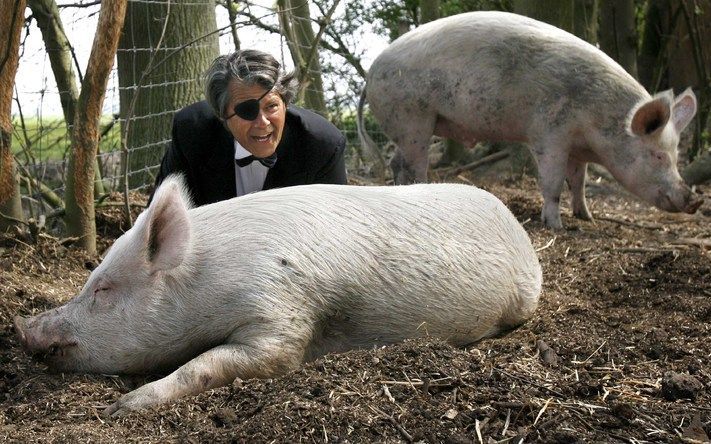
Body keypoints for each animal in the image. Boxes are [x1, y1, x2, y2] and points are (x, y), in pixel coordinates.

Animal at [12, 176, 540, 416]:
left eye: (102, 289)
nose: (21, 327)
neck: (206, 283)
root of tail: (516, 222)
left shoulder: (280, 311)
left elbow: (216, 363)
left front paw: (123, 407)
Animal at [358, 10, 704, 229]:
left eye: (675, 155)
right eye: (657, 155)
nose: (694, 199)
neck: (598, 123)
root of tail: (370, 72)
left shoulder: (577, 148)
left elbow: (579, 181)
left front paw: (586, 218)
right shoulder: (550, 135)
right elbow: (553, 182)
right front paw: (557, 227)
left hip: (408, 125)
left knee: (397, 162)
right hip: (413, 118)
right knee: (413, 164)